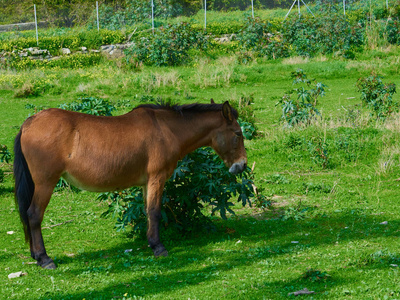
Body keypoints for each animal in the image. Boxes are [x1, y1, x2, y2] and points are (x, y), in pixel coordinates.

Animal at [13, 101, 247, 270]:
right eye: (237, 133)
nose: (242, 165)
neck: (166, 129)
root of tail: (30, 122)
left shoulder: (146, 182)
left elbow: (147, 211)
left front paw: (151, 242)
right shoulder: (157, 177)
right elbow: (154, 211)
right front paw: (159, 247)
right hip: (45, 183)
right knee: (34, 214)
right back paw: (44, 258)